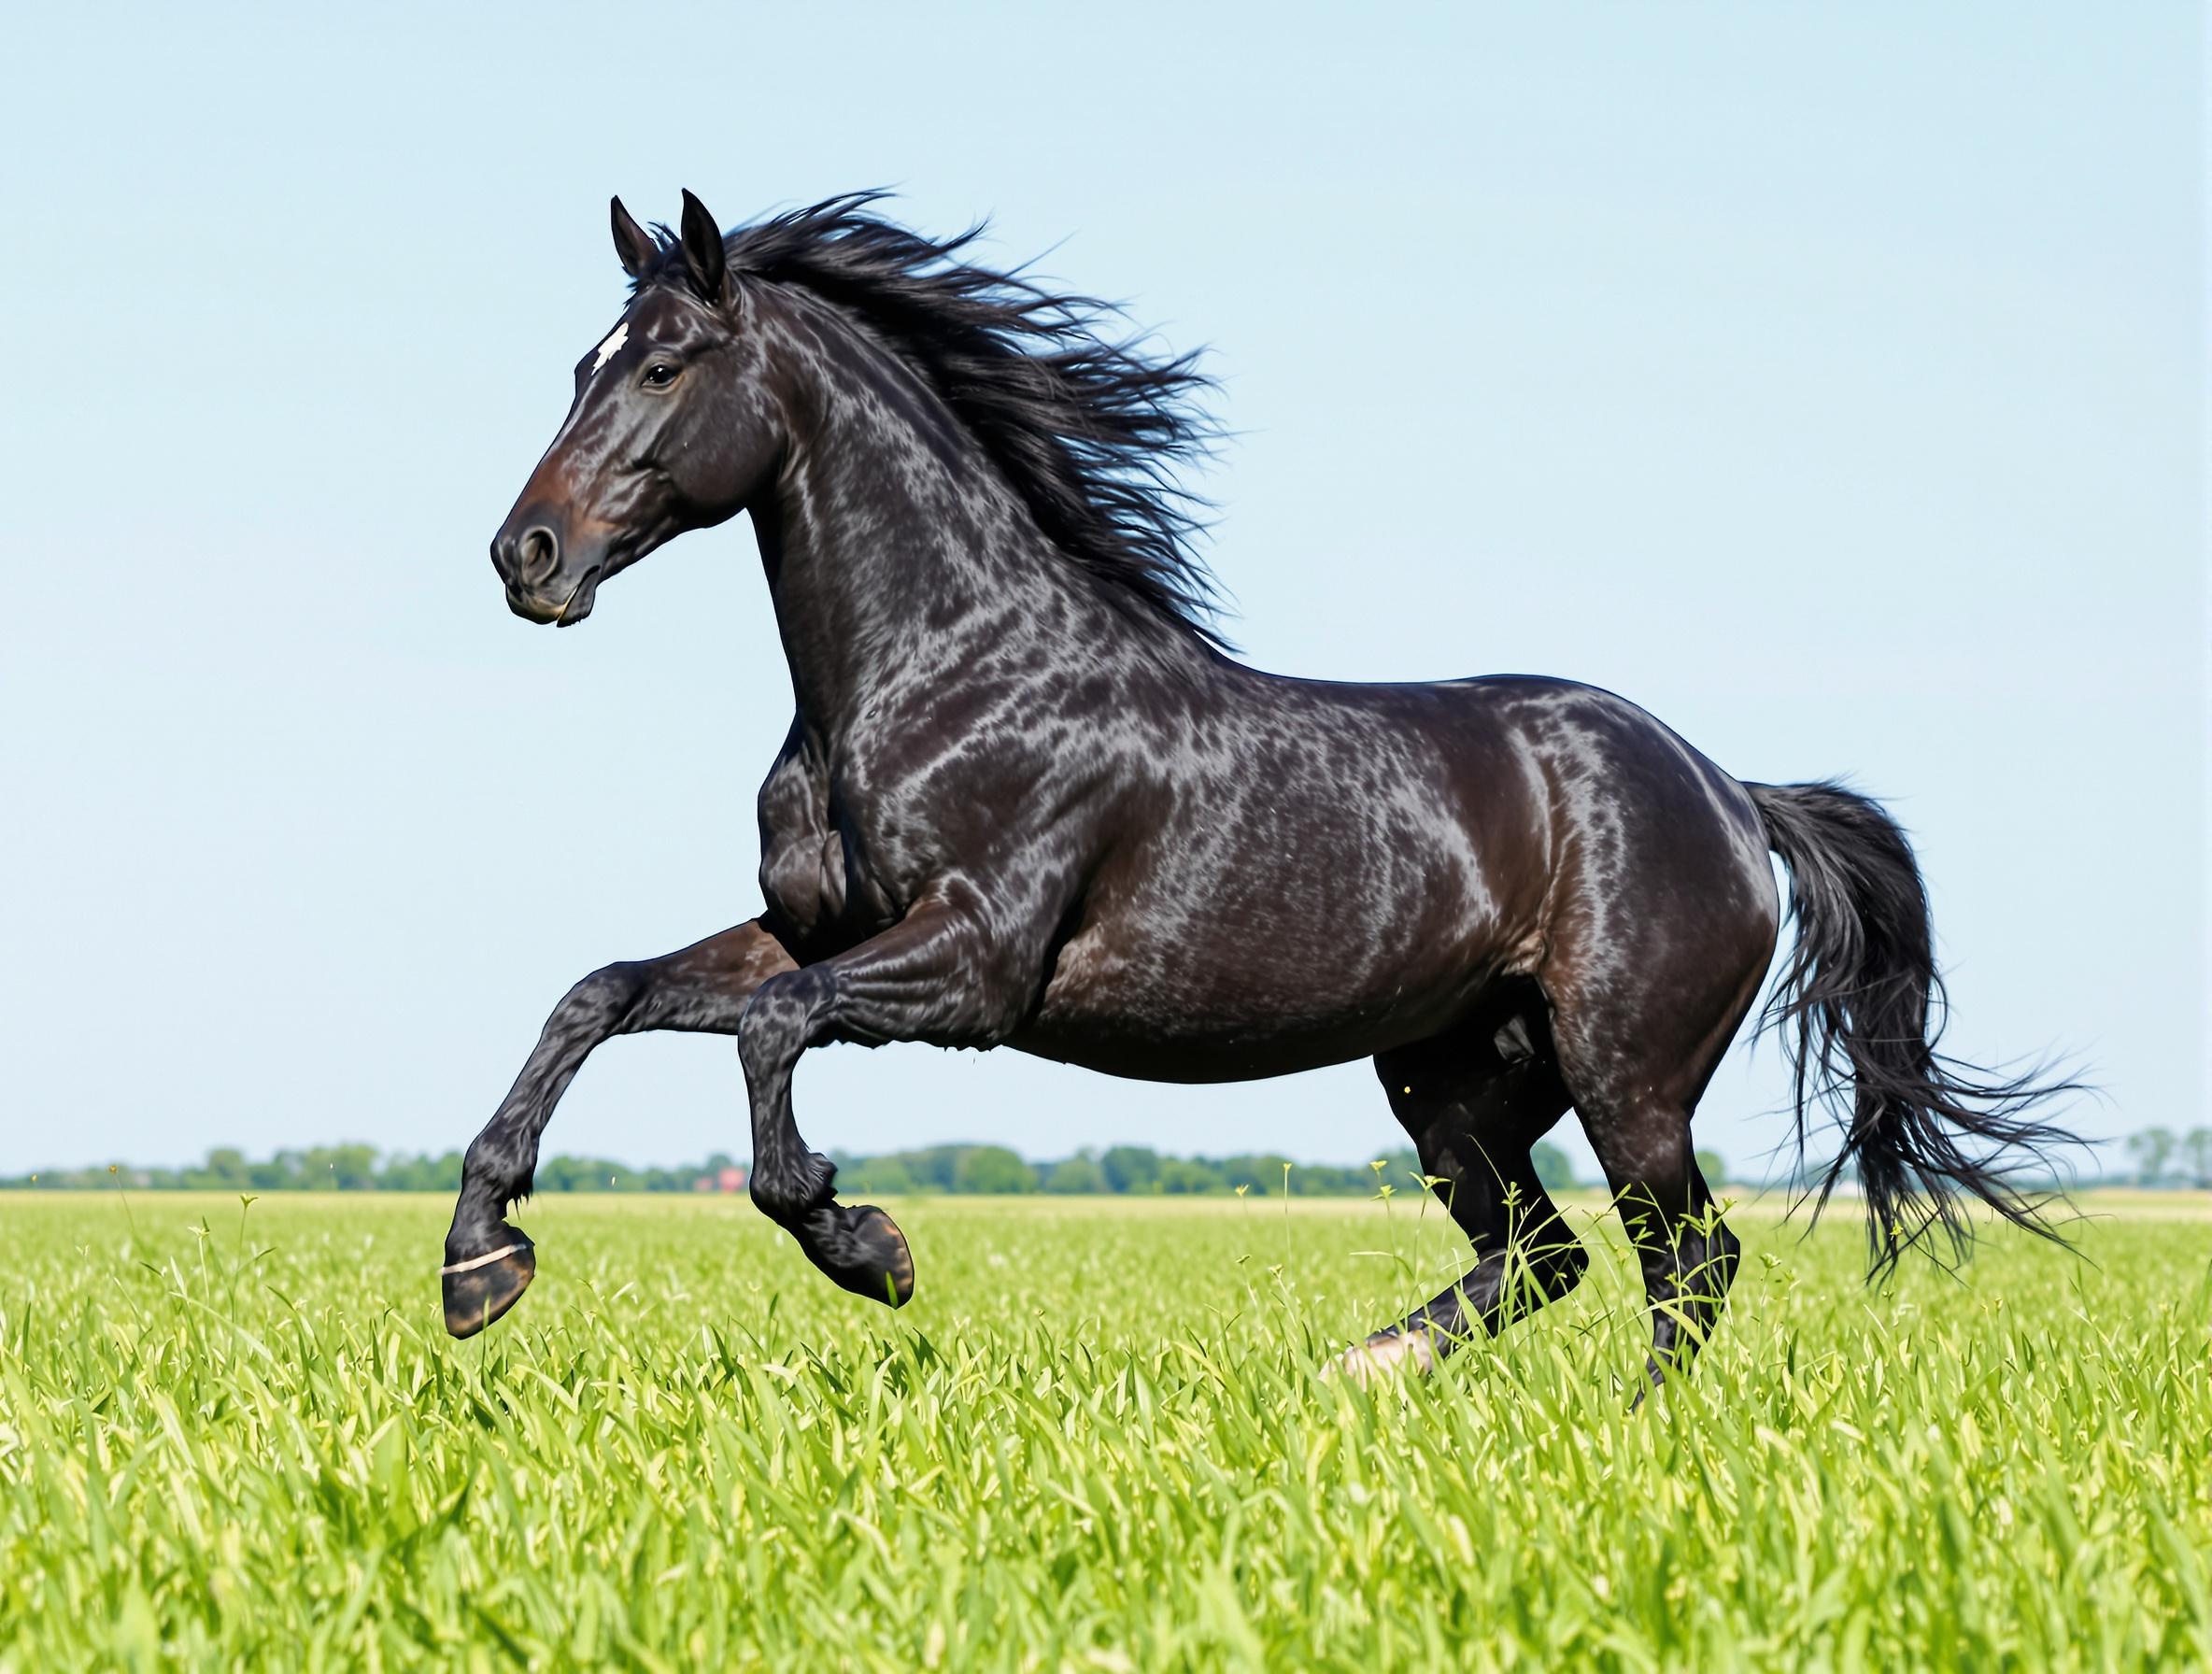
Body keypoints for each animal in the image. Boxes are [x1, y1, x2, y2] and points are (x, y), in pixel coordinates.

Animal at [443, 189, 2074, 1386]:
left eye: (664, 365)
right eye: (584, 363)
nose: (526, 557)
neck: (951, 671)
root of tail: (1733, 792)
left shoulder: (974, 968)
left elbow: (773, 1038)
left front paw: (872, 1247)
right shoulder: (816, 927)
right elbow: (605, 993)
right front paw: (480, 1264)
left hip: (1628, 1073)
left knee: (1685, 1262)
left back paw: (1629, 1432)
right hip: (1453, 1077)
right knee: (1541, 1255)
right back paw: (1361, 1375)